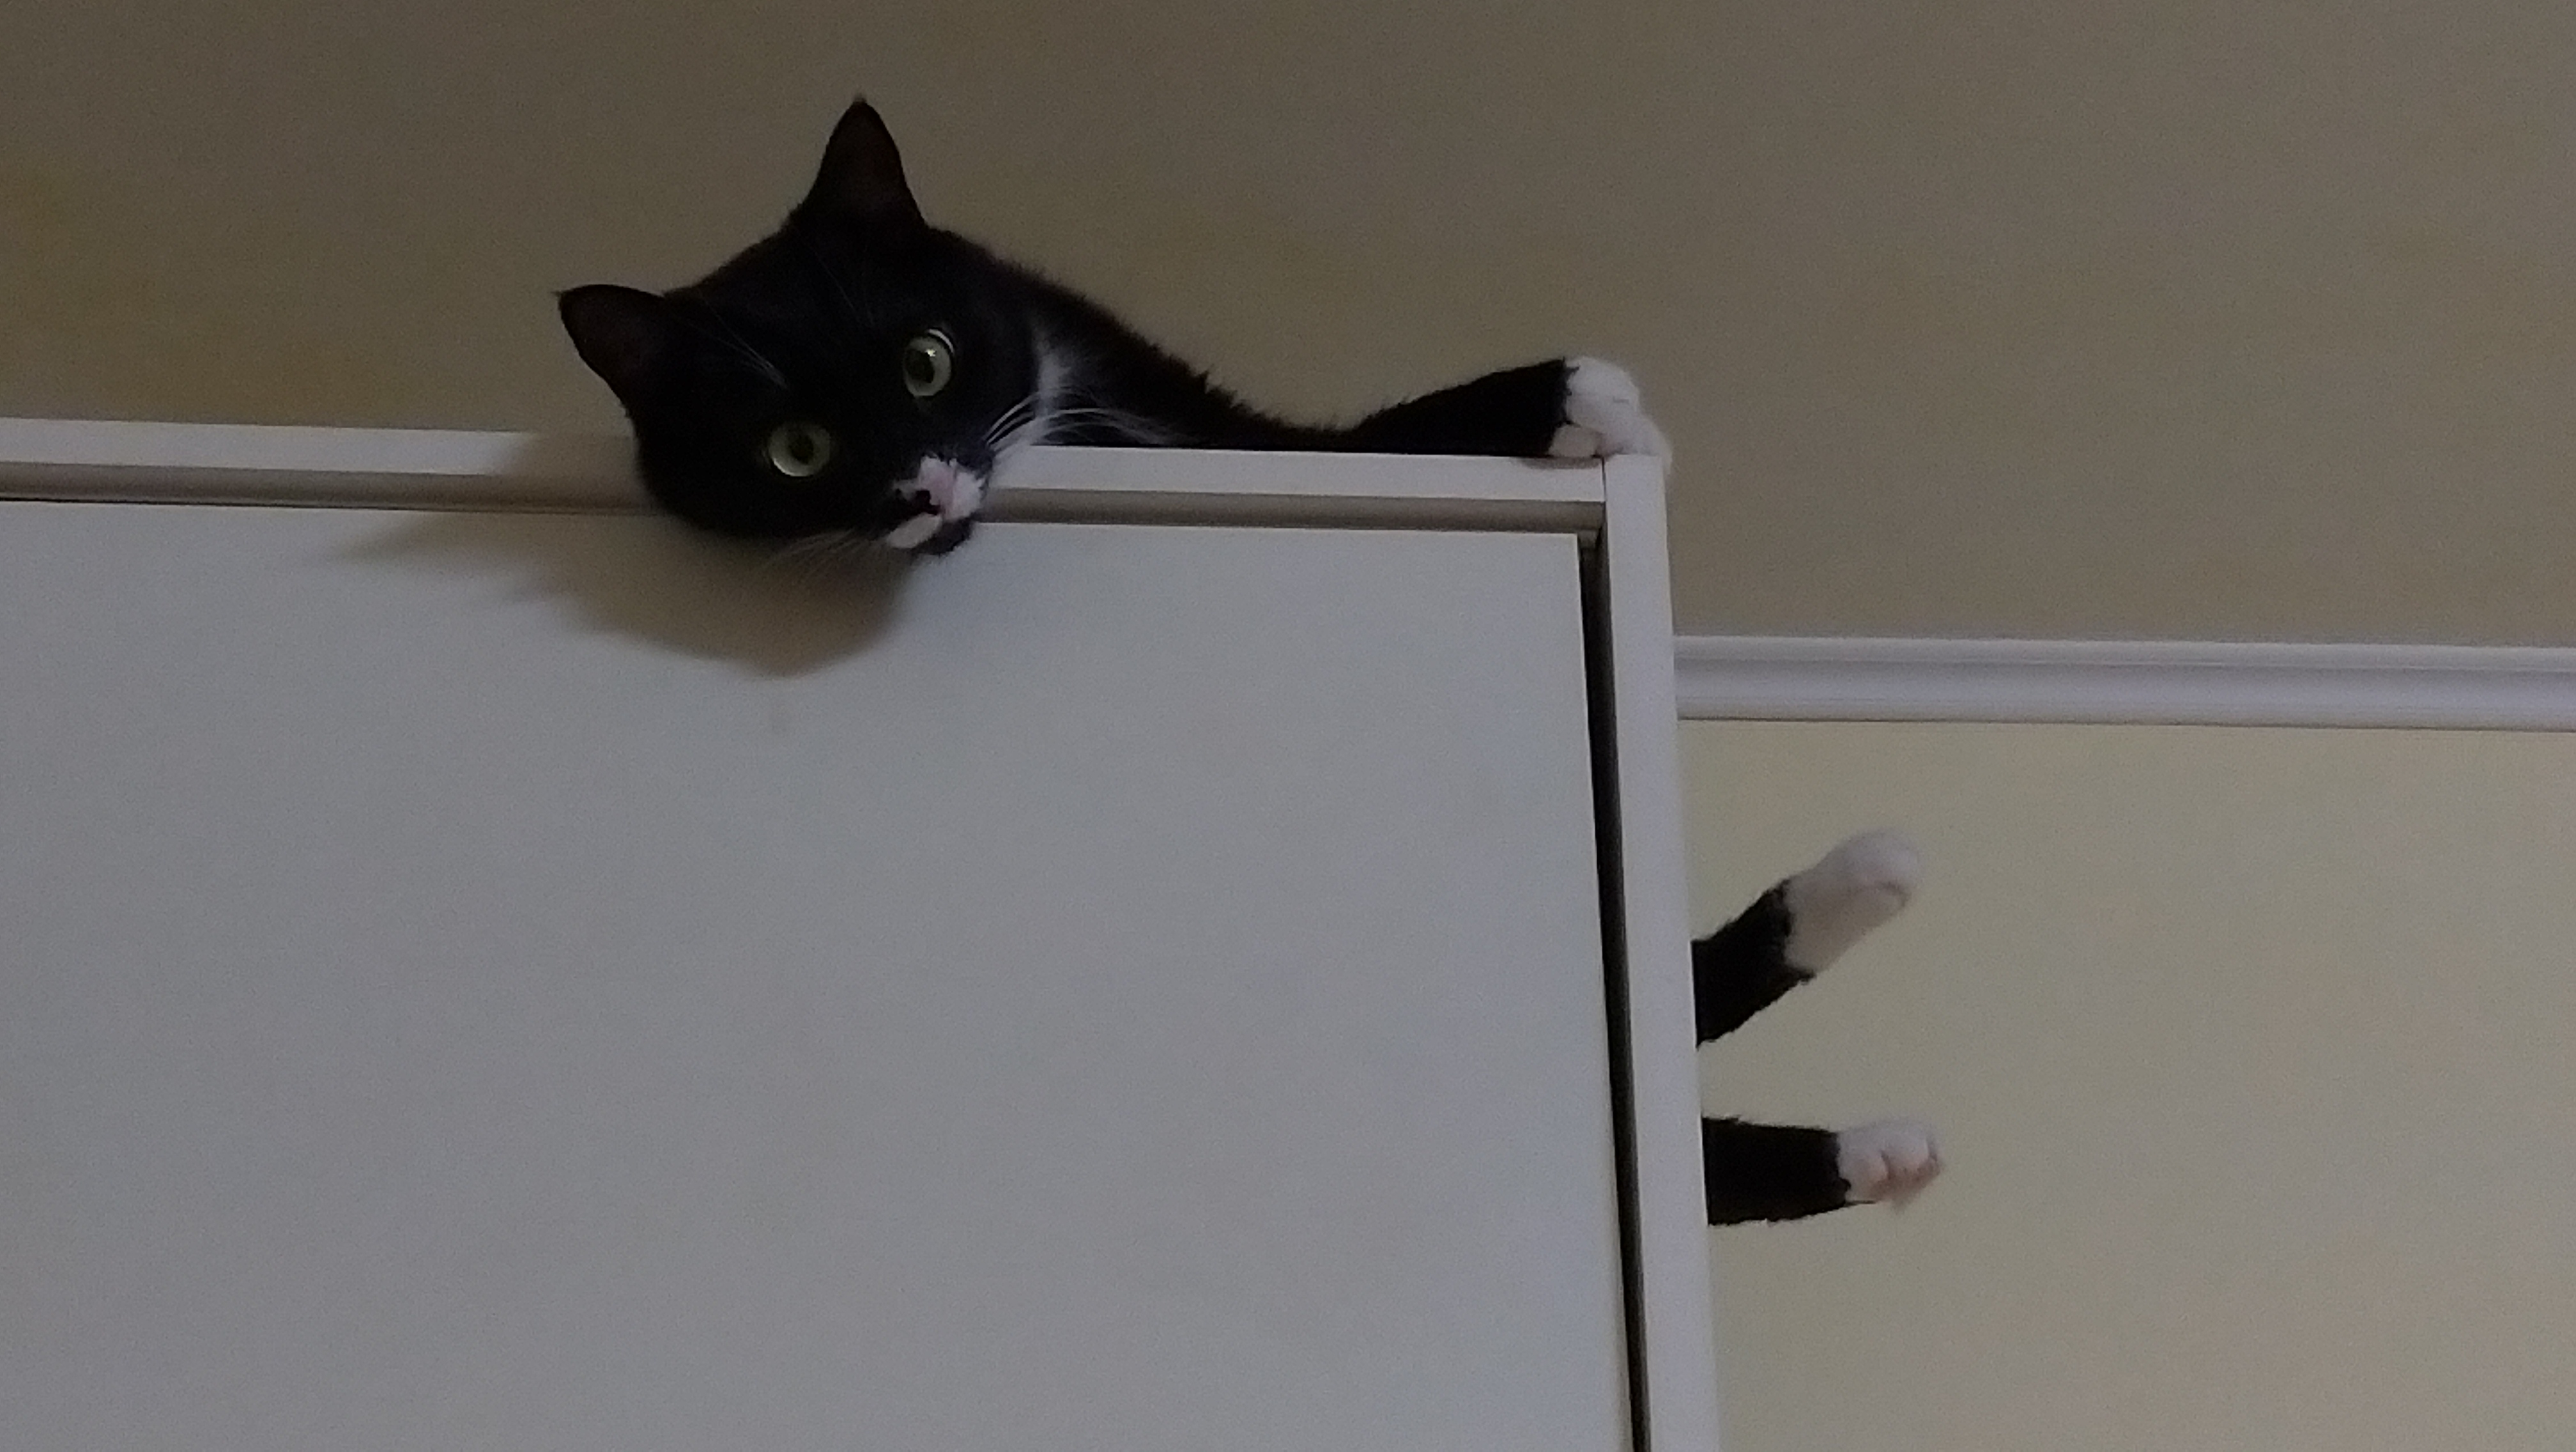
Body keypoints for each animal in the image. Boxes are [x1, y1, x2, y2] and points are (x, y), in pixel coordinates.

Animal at [558, 97, 1668, 556]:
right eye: (796, 449)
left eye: (925, 363)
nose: (922, 486)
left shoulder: (1200, 415)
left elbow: (1334, 442)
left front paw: (1588, 400)